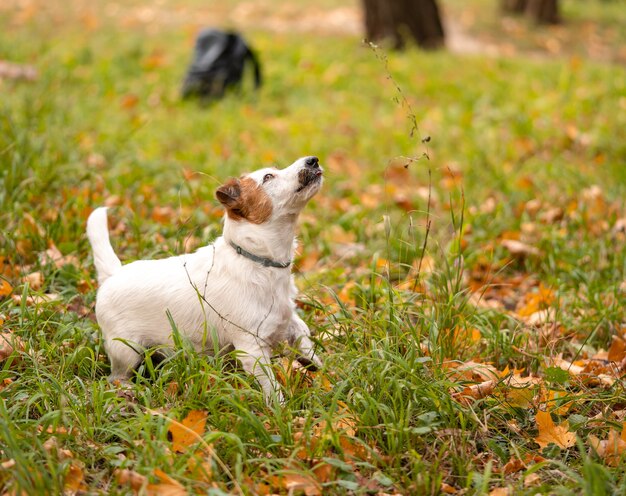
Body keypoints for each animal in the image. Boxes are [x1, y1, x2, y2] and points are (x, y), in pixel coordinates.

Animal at [86, 155, 322, 404]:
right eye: (268, 177)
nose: (312, 160)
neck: (258, 261)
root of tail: (114, 273)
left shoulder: (288, 319)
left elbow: (303, 336)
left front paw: (315, 365)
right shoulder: (252, 348)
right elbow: (271, 387)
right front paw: (281, 408)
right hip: (126, 350)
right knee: (117, 376)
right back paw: (129, 389)